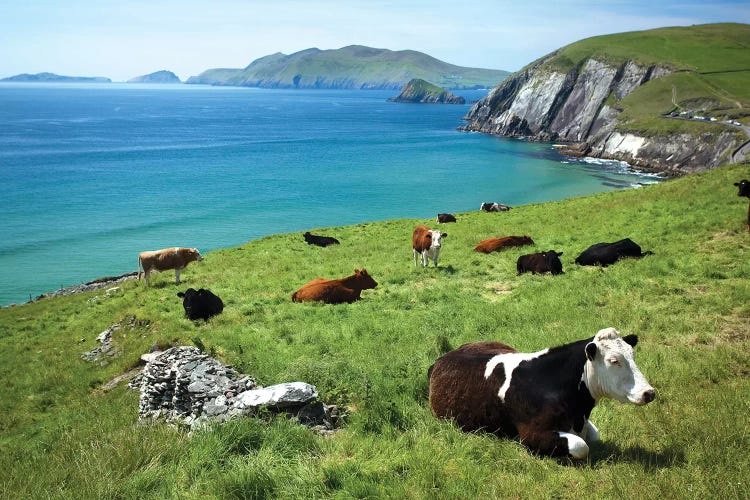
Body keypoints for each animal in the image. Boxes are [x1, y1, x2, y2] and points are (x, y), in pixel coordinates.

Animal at [428, 326, 656, 458]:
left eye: (633, 354)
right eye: (614, 361)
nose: (649, 392)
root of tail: (445, 356)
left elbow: (594, 437)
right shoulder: (531, 435)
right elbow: (581, 446)